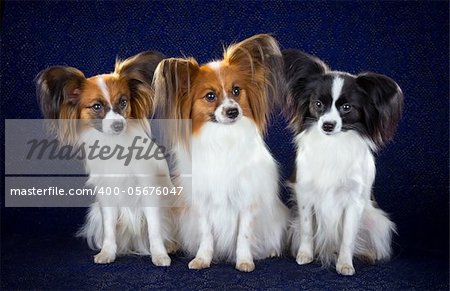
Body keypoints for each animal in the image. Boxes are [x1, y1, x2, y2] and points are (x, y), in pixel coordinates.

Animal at [36, 50, 177, 266]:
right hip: (95, 213)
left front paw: (160, 255)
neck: (114, 144)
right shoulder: (106, 197)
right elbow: (109, 228)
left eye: (123, 102)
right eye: (96, 106)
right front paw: (107, 253)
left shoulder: (149, 191)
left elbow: (154, 229)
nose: (118, 125)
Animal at [153, 34, 290, 274]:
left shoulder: (247, 200)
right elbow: (206, 235)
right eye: (210, 96)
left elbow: (244, 235)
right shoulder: (202, 202)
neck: (223, 137)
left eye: (236, 91)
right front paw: (202, 259)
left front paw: (244, 261)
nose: (233, 111)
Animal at [284, 49, 402, 276]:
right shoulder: (305, 194)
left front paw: (345, 264)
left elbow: (348, 236)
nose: (328, 125)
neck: (333, 144)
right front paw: (305, 255)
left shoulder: (354, 201)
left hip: (377, 220)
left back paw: (368, 254)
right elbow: (307, 229)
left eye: (347, 108)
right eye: (318, 104)